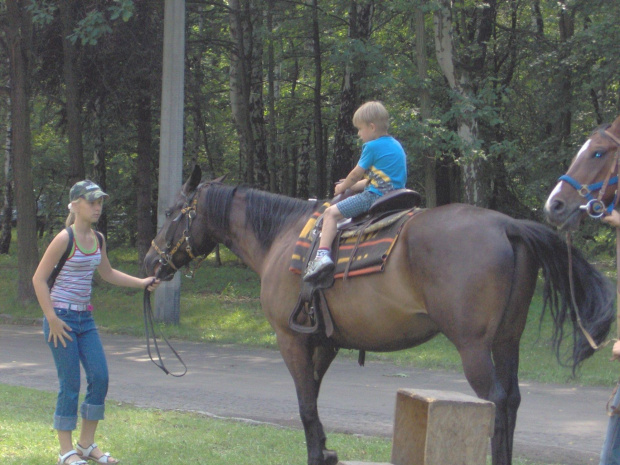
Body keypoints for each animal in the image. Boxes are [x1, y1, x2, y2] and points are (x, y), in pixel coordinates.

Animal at [143, 165, 612, 464]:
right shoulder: (324, 342)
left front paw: (316, 453)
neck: (281, 237)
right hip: (506, 341)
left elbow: (304, 403)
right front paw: (325, 451)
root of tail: (506, 225)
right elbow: (313, 397)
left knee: (495, 402)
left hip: (475, 347)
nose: (150, 262)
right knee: (511, 400)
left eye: (170, 213)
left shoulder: (291, 339)